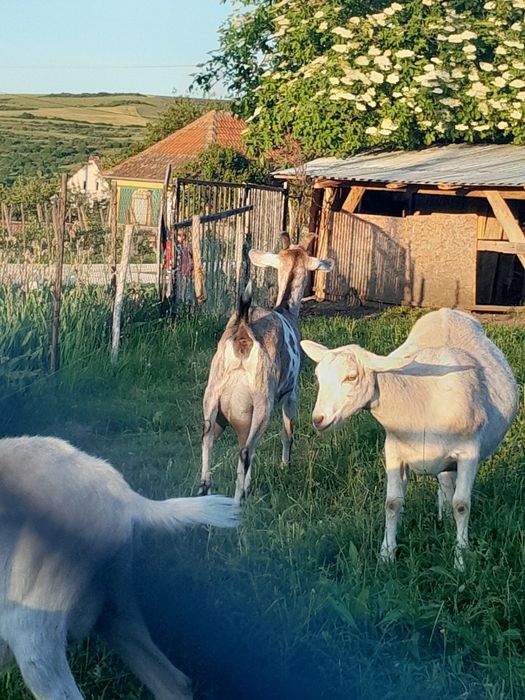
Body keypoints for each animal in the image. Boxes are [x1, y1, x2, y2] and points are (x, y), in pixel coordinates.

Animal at [199, 233, 333, 503]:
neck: (285, 310)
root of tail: (243, 330)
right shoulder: (291, 393)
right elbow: (287, 431)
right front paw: (285, 466)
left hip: (214, 395)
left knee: (209, 438)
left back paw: (205, 487)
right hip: (263, 400)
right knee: (245, 451)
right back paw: (238, 501)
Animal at [302, 308, 518, 569]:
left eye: (351, 377)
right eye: (318, 377)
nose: (318, 419)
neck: (422, 400)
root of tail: (447, 311)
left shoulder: (469, 453)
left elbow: (462, 505)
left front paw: (460, 561)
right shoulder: (394, 451)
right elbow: (393, 502)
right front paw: (386, 556)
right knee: (445, 480)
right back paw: (444, 518)